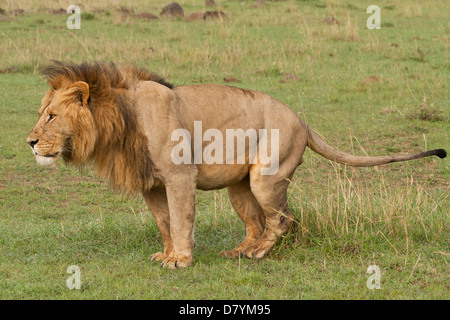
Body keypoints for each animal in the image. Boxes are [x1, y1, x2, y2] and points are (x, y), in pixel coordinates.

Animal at [28, 61, 446, 268]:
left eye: (50, 116)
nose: (29, 142)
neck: (119, 120)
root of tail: (302, 120)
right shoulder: (153, 185)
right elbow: (164, 222)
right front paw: (166, 254)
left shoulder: (179, 176)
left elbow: (181, 220)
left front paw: (180, 261)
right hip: (239, 185)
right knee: (256, 222)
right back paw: (241, 251)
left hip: (267, 176)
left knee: (283, 220)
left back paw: (259, 254)